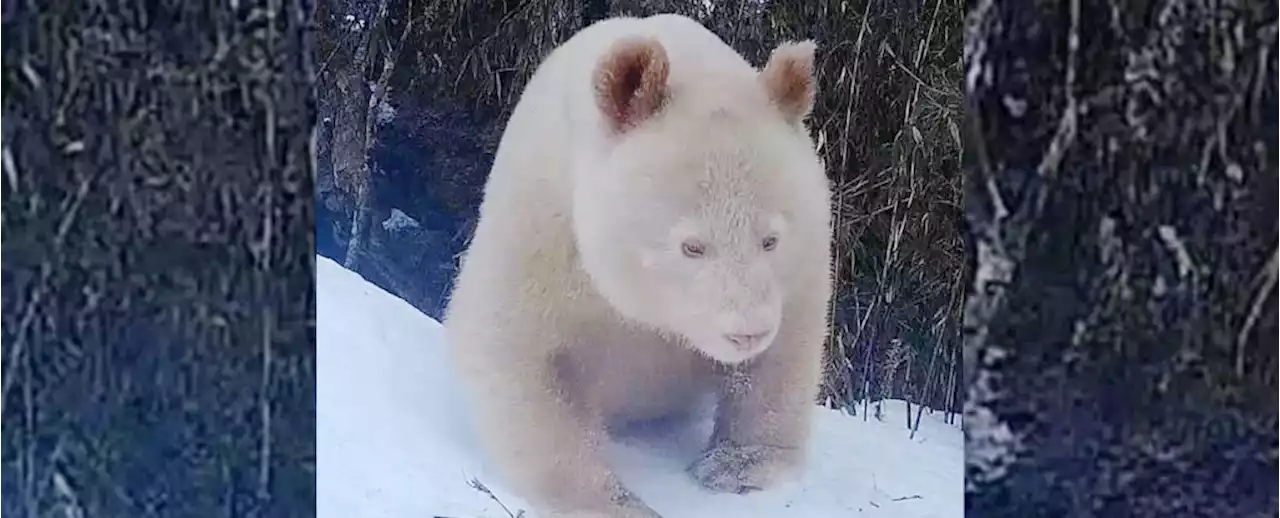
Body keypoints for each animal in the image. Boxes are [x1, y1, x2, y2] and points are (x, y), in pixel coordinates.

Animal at [445, 12, 834, 516]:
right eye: (692, 246)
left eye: (770, 240)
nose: (747, 333)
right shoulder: (543, 230)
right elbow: (517, 351)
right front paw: (613, 501)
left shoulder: (803, 263)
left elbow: (785, 352)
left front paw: (737, 467)